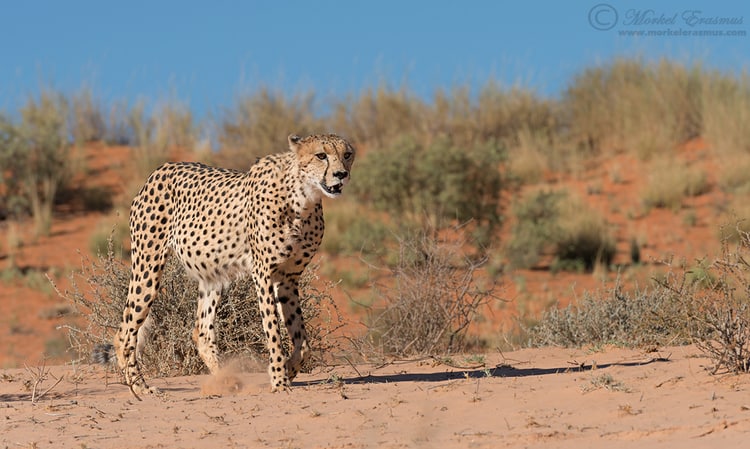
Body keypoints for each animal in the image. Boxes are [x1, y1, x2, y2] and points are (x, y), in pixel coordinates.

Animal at [112, 133, 358, 396]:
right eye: (321, 155)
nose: (341, 174)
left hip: (213, 275)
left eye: (347, 154)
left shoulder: (288, 278)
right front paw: (279, 380)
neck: (303, 199)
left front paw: (290, 370)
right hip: (148, 266)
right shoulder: (263, 274)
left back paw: (225, 381)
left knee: (201, 331)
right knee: (125, 331)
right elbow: (273, 332)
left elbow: (302, 340)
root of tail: (162, 168)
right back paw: (140, 387)